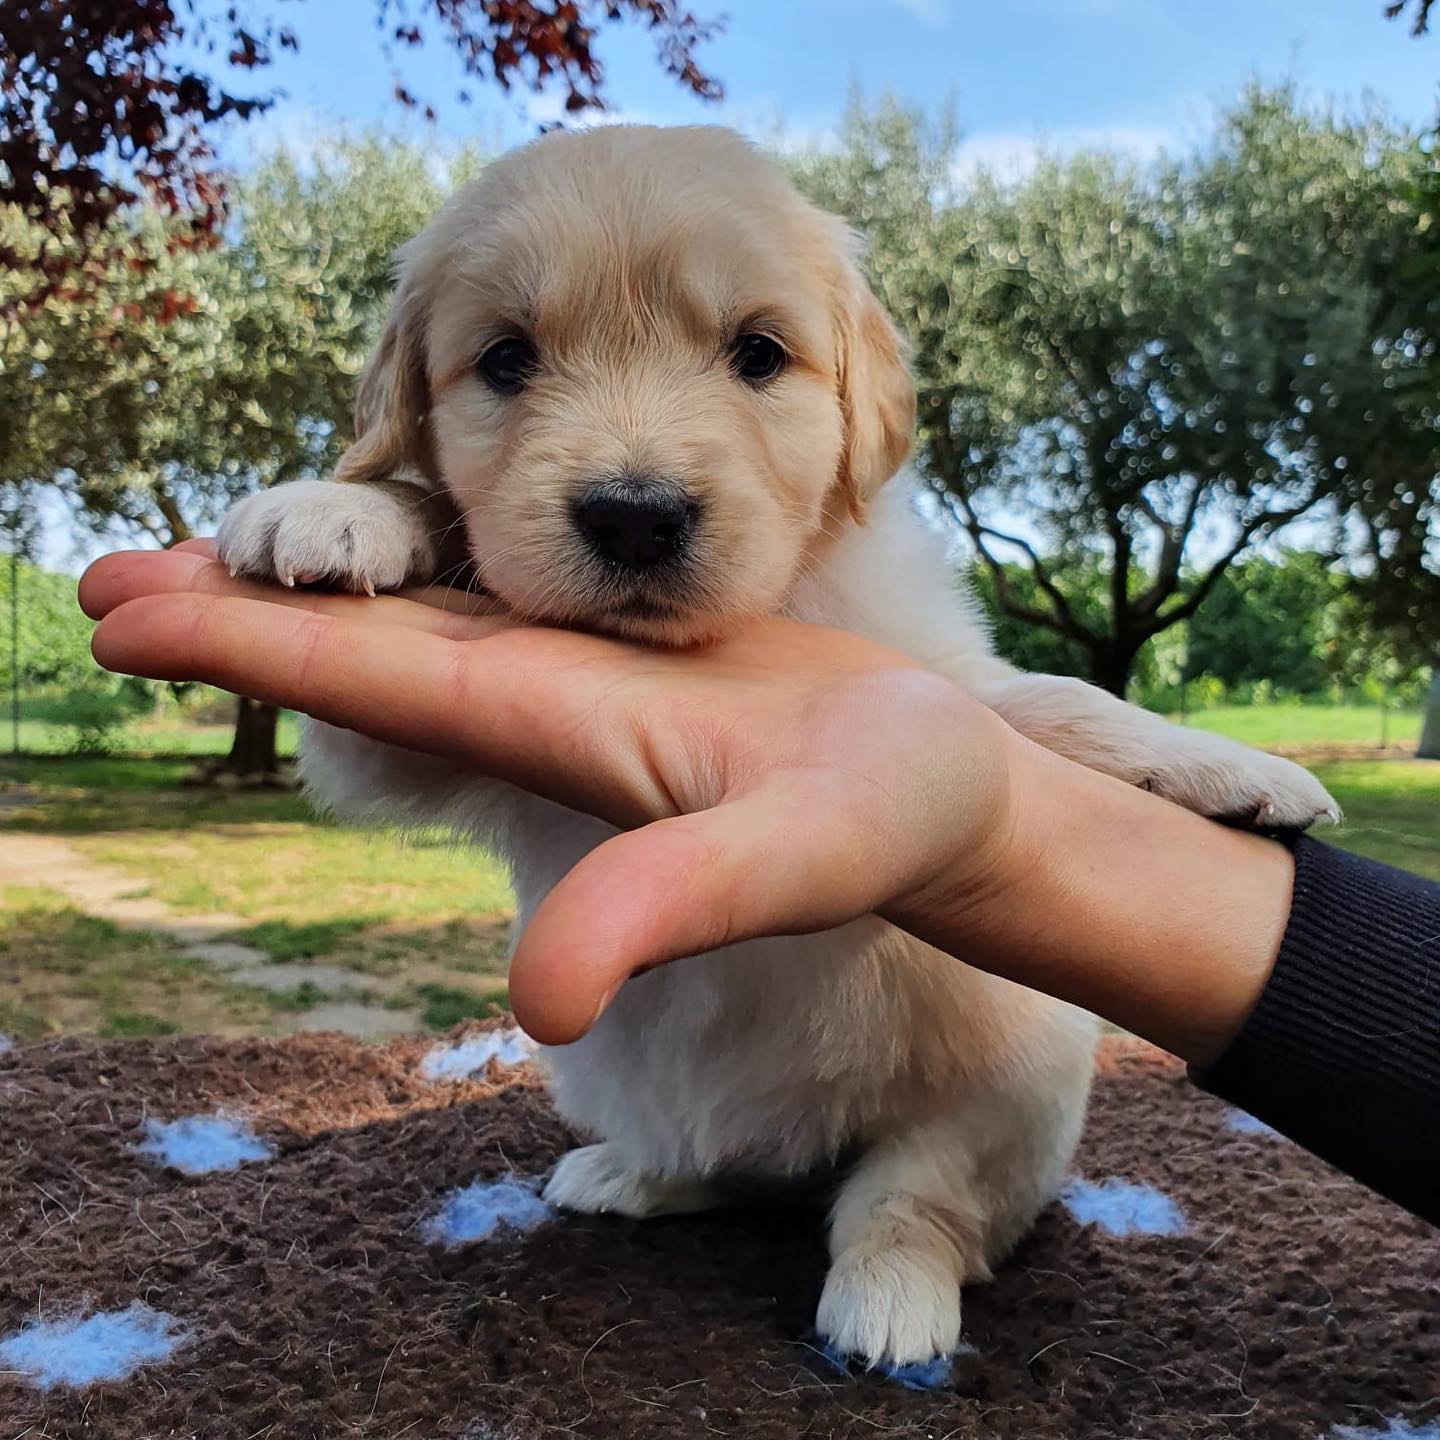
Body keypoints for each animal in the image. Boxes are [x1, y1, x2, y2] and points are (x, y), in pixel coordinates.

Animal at [216, 126, 1336, 1370]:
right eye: (506, 360)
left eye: (758, 353)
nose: (636, 515)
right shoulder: (423, 755)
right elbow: (392, 633)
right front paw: (344, 508)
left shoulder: (933, 675)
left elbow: (1051, 704)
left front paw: (1238, 773)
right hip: (594, 1063)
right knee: (708, 1170)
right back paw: (629, 1174)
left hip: (1013, 1082)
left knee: (912, 1205)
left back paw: (890, 1306)